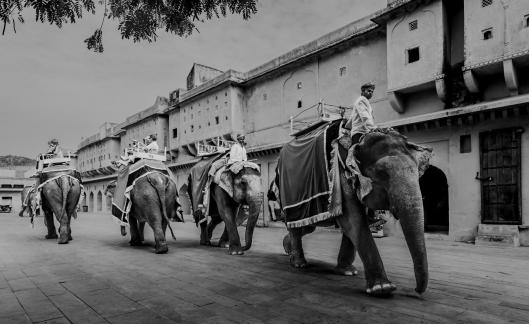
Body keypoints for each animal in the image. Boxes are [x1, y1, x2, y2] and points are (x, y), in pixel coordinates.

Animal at [280, 128, 428, 296]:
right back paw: (299, 264)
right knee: (296, 226)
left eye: (418, 172)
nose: (415, 290)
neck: (359, 141)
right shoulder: (342, 174)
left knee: (306, 227)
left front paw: (348, 272)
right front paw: (382, 288)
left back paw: (288, 249)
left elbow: (355, 223)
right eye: (382, 173)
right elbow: (353, 220)